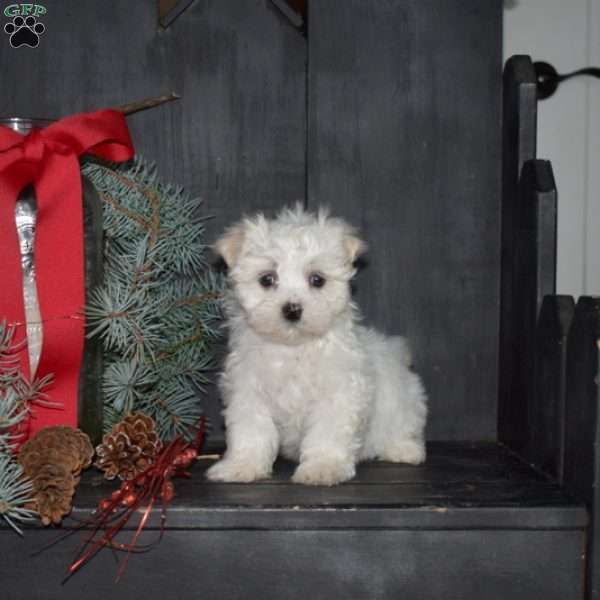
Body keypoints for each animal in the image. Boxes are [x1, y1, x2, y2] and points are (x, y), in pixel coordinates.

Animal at [206, 207, 426, 488]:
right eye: (267, 279)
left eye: (317, 280)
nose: (292, 309)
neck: (293, 348)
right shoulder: (248, 392)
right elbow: (251, 430)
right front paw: (241, 466)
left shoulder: (338, 393)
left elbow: (327, 433)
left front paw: (323, 467)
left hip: (404, 400)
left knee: (404, 426)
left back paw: (404, 449)